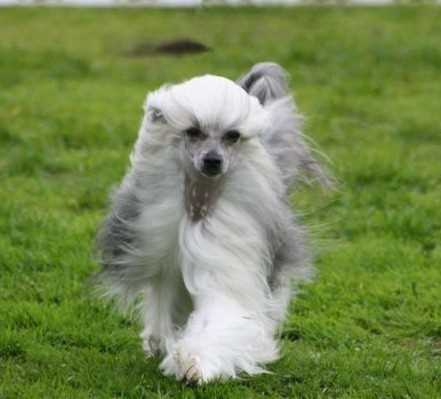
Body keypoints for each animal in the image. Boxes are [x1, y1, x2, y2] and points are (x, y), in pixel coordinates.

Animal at [96, 62, 330, 384]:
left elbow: (220, 311)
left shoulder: (224, 258)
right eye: (193, 131)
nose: (213, 161)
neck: (198, 202)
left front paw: (193, 362)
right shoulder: (162, 259)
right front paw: (166, 346)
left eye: (232, 135)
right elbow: (164, 301)